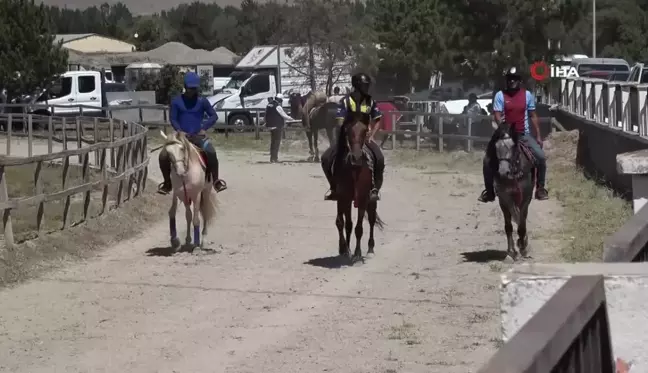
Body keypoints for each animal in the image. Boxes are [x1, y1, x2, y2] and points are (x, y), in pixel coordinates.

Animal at [494, 129, 536, 260]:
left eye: (513, 147)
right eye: (496, 147)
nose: (503, 172)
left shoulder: (526, 199)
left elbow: (521, 224)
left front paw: (523, 247)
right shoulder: (503, 199)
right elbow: (509, 226)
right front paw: (511, 252)